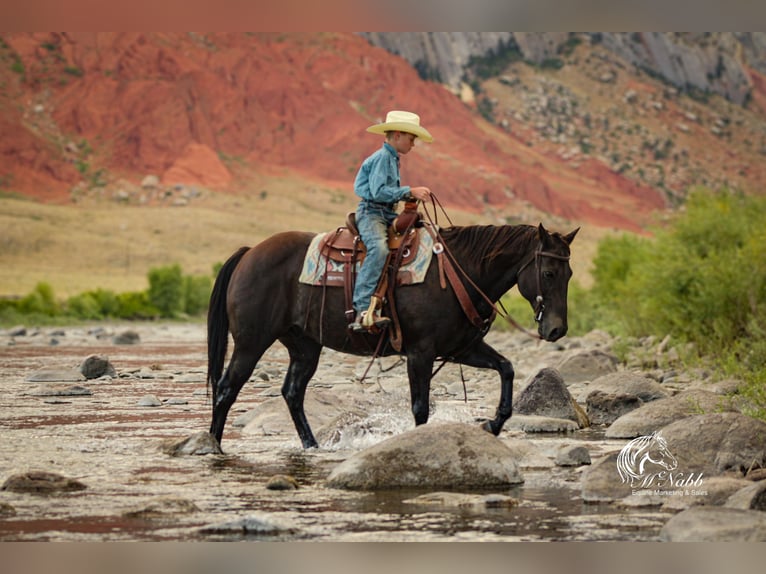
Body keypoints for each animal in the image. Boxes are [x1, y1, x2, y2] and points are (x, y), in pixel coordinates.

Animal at [207, 222, 578, 450]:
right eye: (548, 272)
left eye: (570, 273)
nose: (557, 329)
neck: (457, 275)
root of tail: (249, 253)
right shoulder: (420, 352)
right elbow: (420, 407)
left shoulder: (461, 348)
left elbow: (507, 368)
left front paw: (494, 424)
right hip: (251, 342)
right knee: (226, 389)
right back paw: (212, 445)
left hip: (304, 346)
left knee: (292, 393)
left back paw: (312, 447)